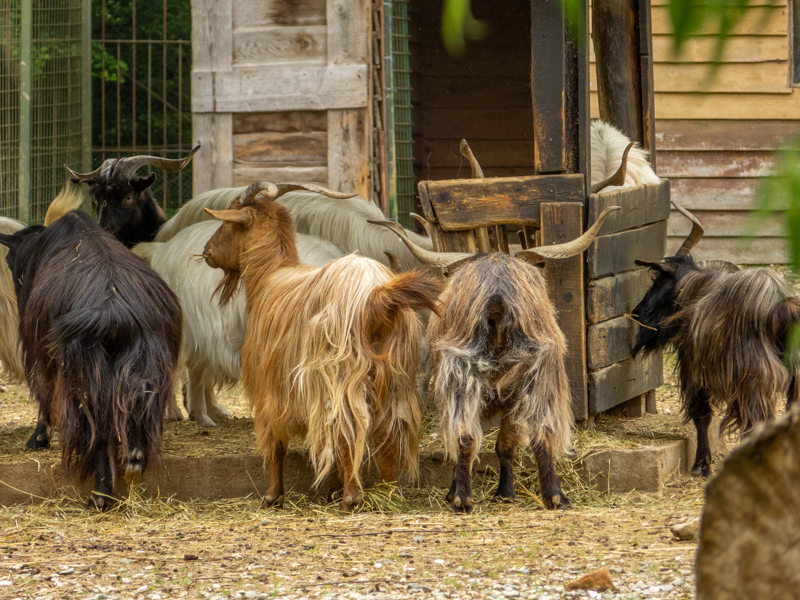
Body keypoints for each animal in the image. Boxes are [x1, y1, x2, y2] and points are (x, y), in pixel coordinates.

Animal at [0, 191, 182, 508]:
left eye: (10, 259)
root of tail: (113, 310)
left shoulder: (38, 350)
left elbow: (44, 392)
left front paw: (38, 439)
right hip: (147, 360)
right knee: (138, 399)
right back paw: (134, 458)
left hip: (84, 373)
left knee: (98, 427)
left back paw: (100, 495)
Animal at [133, 184, 344, 427]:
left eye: (228, 222)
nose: (207, 249)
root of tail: (161, 249)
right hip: (189, 325)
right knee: (185, 365)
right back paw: (189, 414)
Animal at [202, 182, 442, 511]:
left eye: (228, 222)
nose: (207, 252)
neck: (271, 276)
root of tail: (377, 295)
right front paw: (331, 490)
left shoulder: (270, 388)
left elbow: (275, 442)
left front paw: (272, 495)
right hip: (394, 378)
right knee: (387, 431)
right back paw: (389, 491)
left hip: (340, 376)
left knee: (347, 429)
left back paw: (352, 498)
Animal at [369, 206, 620, 513]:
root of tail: (498, 300)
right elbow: (506, 443)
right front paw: (506, 492)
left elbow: (497, 443)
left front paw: (499, 492)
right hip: (534, 375)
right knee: (537, 433)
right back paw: (554, 497)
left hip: (468, 373)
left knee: (466, 435)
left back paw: (462, 498)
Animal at [632, 201, 800, 477]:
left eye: (659, 281)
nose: (637, 313)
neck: (696, 291)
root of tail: (781, 307)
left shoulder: (694, 369)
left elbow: (702, 415)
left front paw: (701, 464)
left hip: (756, 380)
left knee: (757, 422)